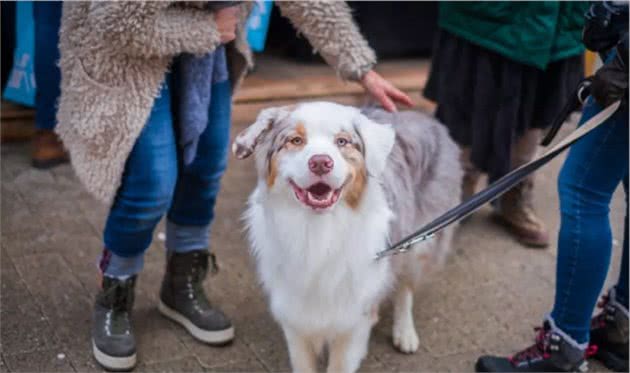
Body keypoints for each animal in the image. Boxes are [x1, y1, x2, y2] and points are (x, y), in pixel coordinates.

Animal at [232, 102, 464, 372]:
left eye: (342, 141)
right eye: (295, 140)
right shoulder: (294, 315)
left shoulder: (352, 323)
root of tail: (421, 115)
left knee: (406, 287)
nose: (321, 162)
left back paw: (405, 332)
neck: (318, 233)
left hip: (419, 242)